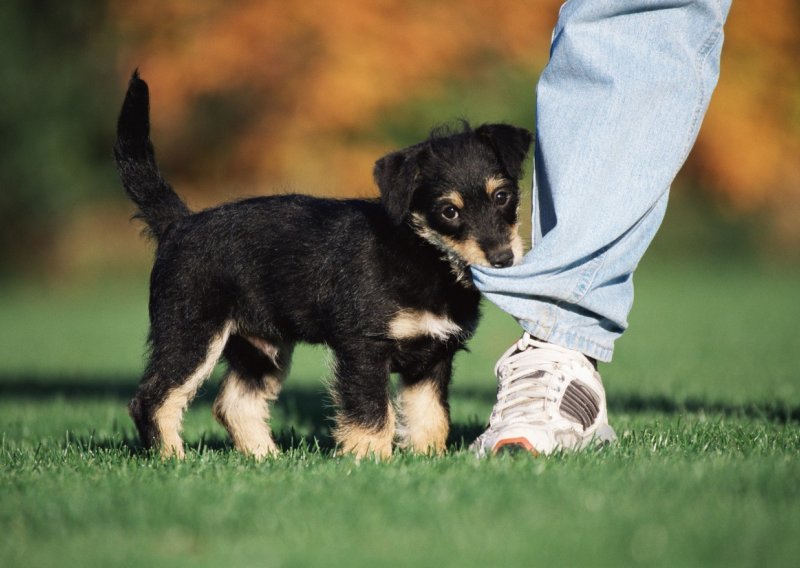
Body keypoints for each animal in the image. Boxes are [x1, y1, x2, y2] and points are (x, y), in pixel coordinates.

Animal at [112, 72, 532, 462]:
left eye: (502, 196)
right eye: (448, 211)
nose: (503, 258)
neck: (422, 253)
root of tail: (178, 224)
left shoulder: (433, 355)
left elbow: (430, 416)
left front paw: (427, 458)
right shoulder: (364, 348)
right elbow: (373, 413)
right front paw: (370, 461)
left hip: (260, 347)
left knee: (235, 403)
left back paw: (266, 458)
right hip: (190, 335)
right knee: (152, 399)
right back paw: (173, 459)